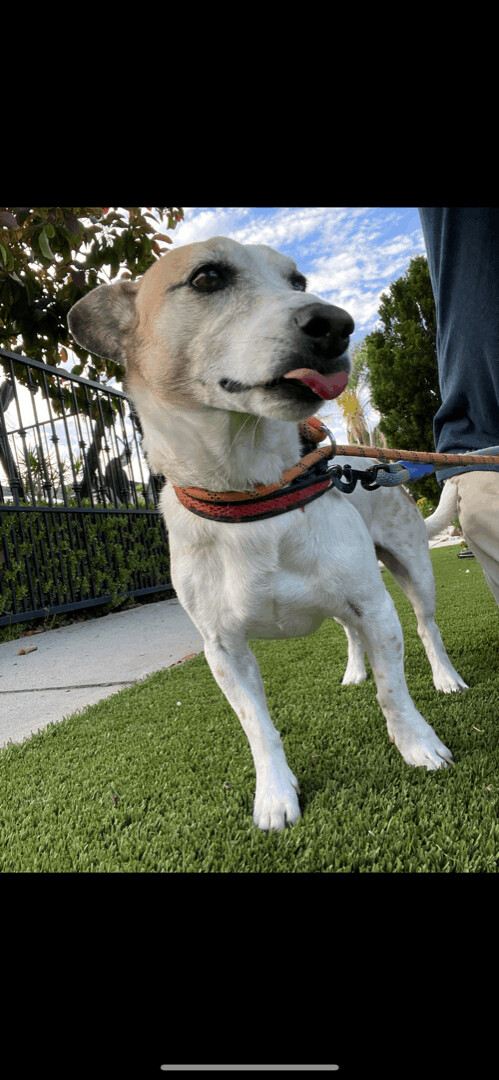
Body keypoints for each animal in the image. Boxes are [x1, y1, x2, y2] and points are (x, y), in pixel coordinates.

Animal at [68, 236, 466, 825]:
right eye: (208, 277)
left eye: (297, 282)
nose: (336, 323)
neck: (252, 490)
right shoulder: (223, 649)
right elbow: (258, 727)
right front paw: (276, 795)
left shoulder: (374, 606)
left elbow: (394, 691)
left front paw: (418, 745)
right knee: (349, 633)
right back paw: (355, 672)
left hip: (411, 567)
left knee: (427, 627)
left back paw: (444, 677)